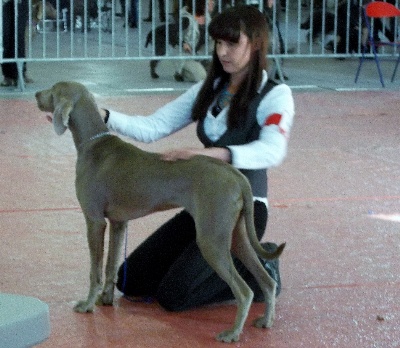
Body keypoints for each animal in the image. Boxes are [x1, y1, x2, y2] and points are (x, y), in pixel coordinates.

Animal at [34, 81, 284, 342]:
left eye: (52, 90)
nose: (36, 95)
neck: (93, 142)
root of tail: (235, 174)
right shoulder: (118, 223)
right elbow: (111, 266)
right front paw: (106, 300)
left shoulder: (94, 221)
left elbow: (95, 270)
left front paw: (87, 304)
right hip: (235, 234)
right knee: (265, 281)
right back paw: (266, 319)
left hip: (211, 239)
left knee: (244, 290)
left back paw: (233, 332)